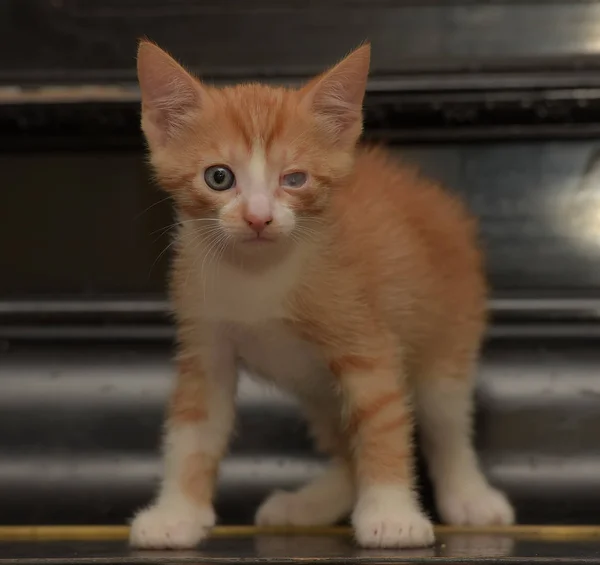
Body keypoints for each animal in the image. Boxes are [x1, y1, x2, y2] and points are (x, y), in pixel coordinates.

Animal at [129, 38, 512, 548]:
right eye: (218, 177)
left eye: (294, 179)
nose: (258, 218)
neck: (259, 275)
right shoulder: (205, 347)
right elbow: (192, 430)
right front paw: (176, 513)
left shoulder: (367, 341)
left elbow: (382, 422)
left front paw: (392, 513)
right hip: (317, 391)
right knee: (346, 449)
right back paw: (309, 505)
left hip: (450, 334)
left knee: (446, 424)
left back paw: (468, 496)